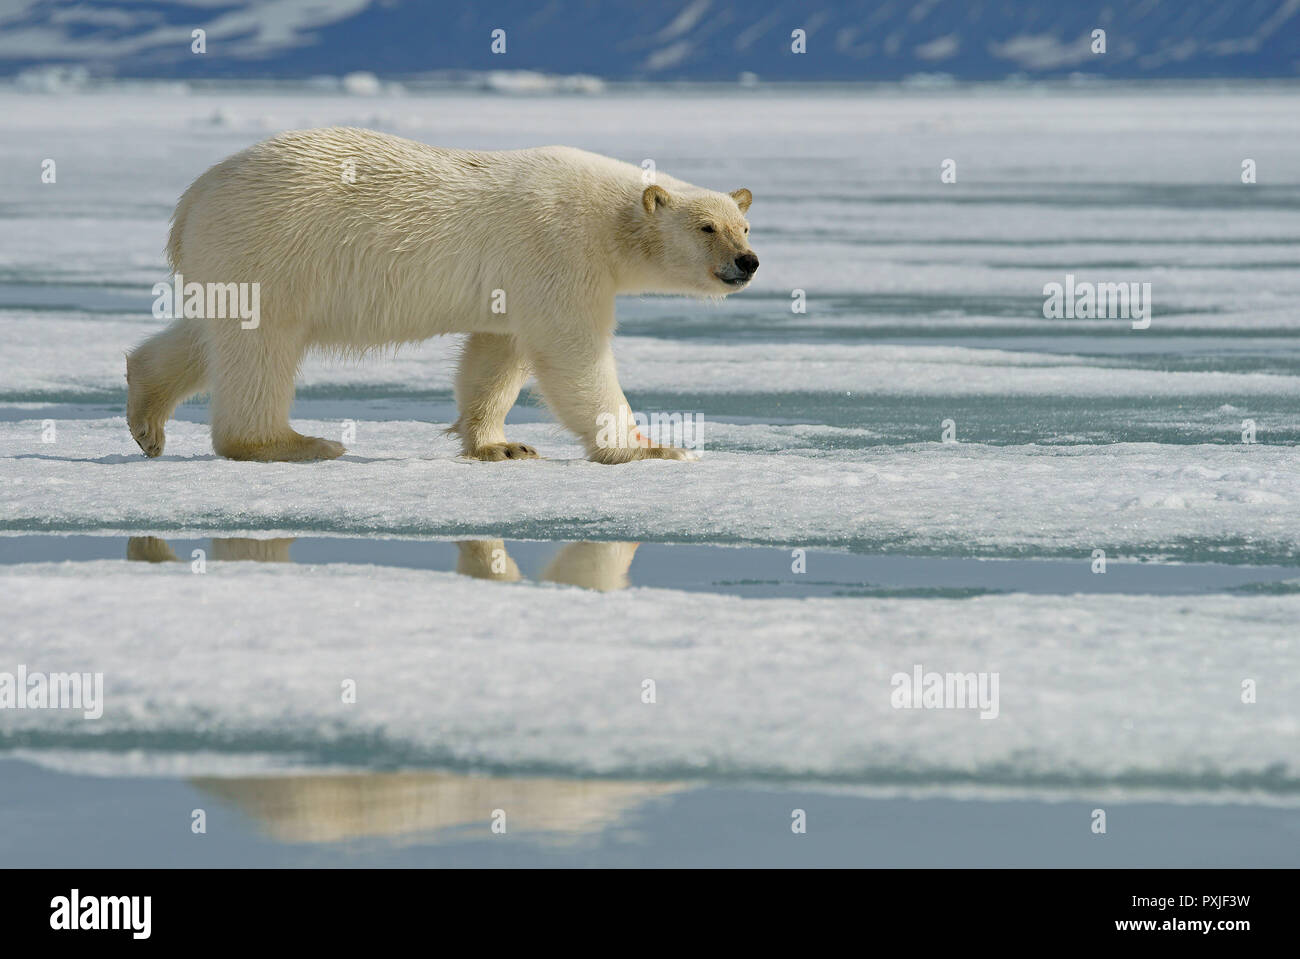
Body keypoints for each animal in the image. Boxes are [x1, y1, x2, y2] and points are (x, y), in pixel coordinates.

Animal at [126, 125, 759, 462]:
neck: (606, 218)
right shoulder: (558, 250)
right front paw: (651, 446)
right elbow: (573, 352)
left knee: (206, 336)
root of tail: (189, 202)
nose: (746, 263)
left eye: (745, 225)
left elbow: (497, 354)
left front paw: (500, 446)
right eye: (708, 227)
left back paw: (146, 417)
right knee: (260, 347)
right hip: (269, 247)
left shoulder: (516, 284)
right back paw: (294, 442)